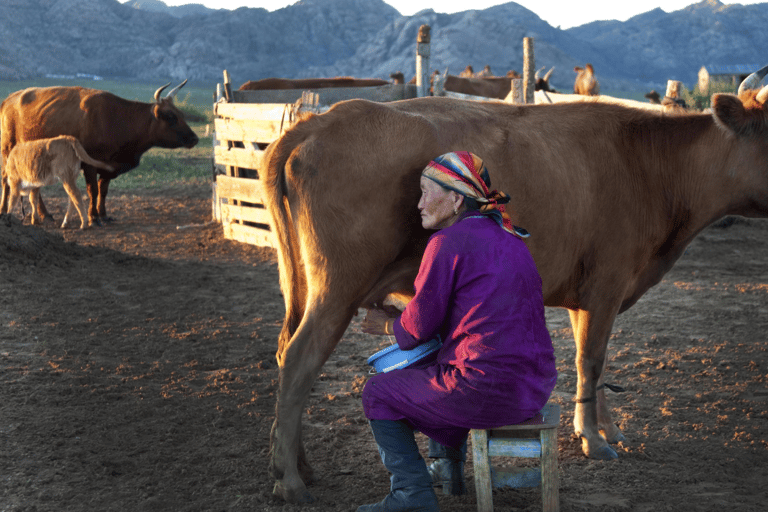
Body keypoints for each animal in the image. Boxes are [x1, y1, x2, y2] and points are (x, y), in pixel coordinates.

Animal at [0, 81, 198, 223]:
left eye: (181, 114)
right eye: (170, 117)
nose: (194, 138)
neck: (117, 118)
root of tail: (9, 99)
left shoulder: (109, 166)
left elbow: (103, 191)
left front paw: (103, 215)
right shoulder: (90, 163)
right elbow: (93, 190)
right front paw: (93, 217)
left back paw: (45, 215)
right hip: (7, 151)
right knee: (5, 179)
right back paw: (4, 211)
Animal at [260, 65, 768, 504]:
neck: (649, 167)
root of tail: (319, 121)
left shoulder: (587, 296)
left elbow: (596, 362)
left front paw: (607, 429)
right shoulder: (607, 282)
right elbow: (591, 360)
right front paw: (594, 440)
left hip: (301, 284)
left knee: (285, 352)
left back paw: (300, 466)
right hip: (337, 287)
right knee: (300, 359)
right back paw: (289, 481)